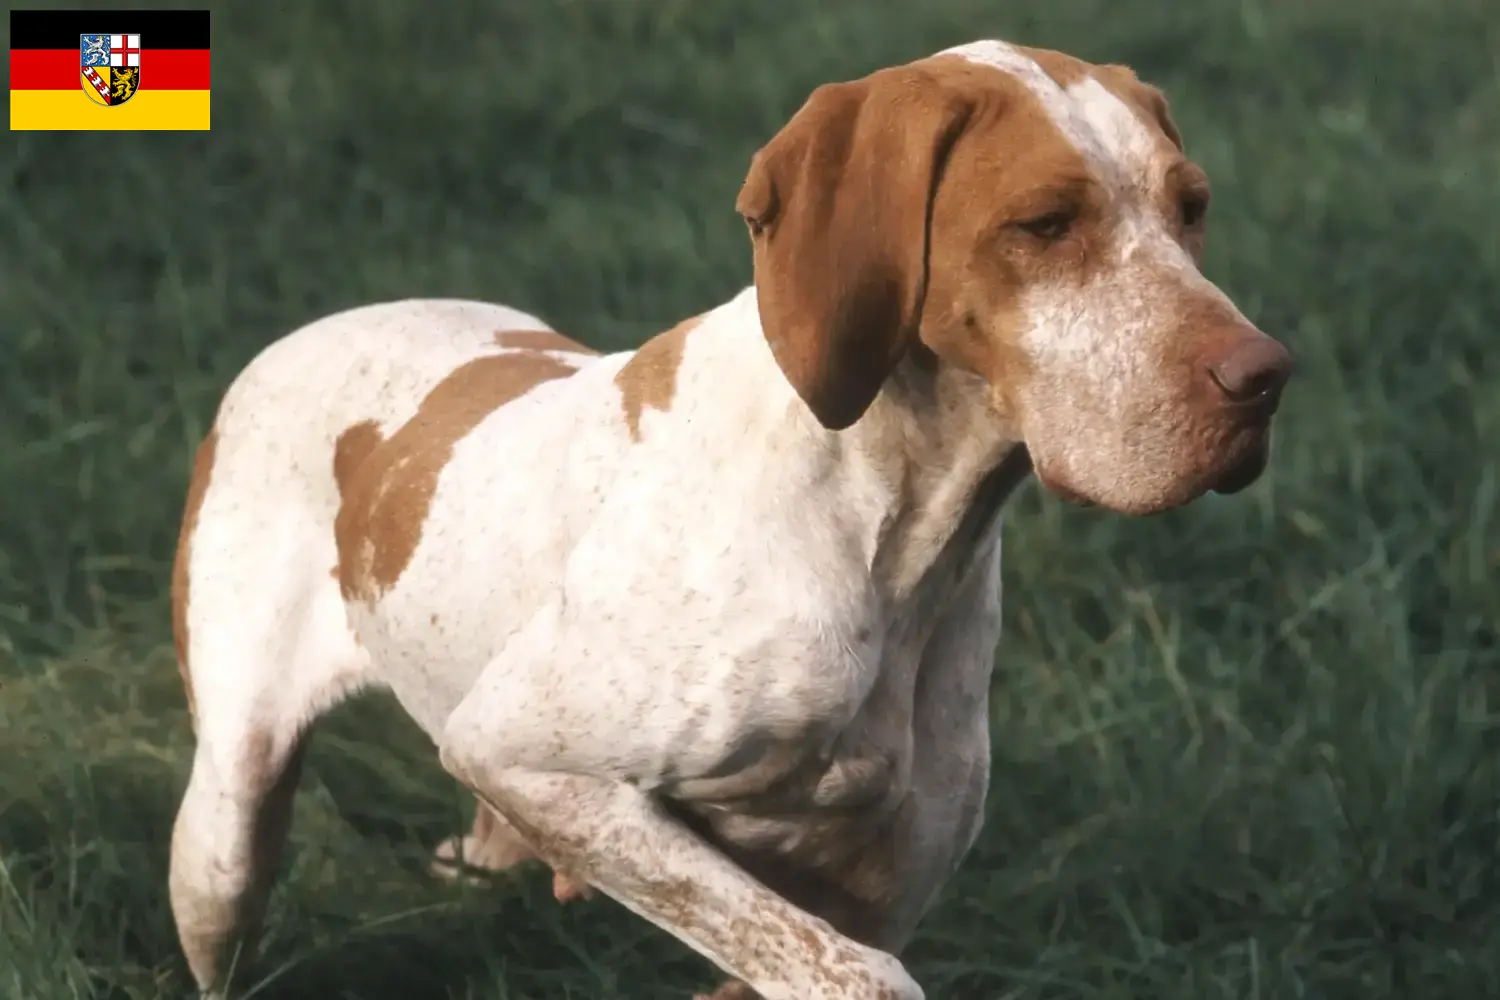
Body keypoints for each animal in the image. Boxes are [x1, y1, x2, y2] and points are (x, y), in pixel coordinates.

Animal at [161, 37, 1290, 1000]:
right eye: (1045, 223)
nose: (1266, 379)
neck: (885, 528)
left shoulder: (880, 877)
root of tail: (299, 335)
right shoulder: (526, 754)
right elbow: (860, 973)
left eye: (1191, 208)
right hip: (224, 841)